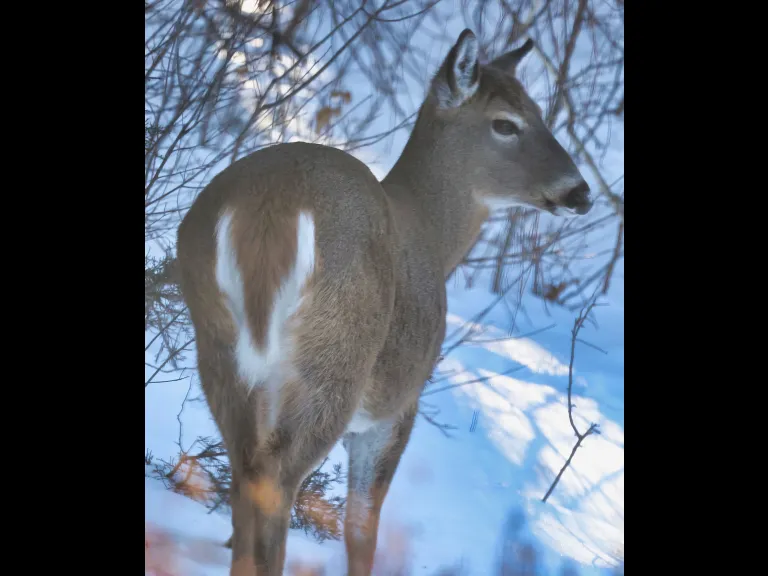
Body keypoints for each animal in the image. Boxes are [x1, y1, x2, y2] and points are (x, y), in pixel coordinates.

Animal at [175, 29, 592, 576]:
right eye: (506, 123)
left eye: (540, 111)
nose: (580, 191)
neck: (433, 239)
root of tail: (269, 210)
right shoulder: (397, 405)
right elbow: (361, 527)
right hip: (337, 357)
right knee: (276, 481)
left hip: (218, 340)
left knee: (245, 473)